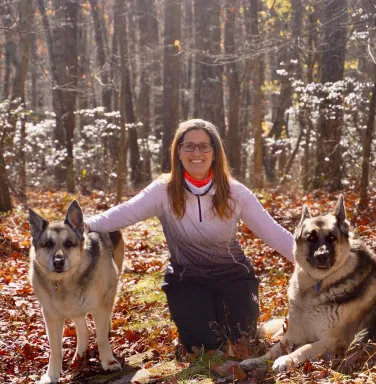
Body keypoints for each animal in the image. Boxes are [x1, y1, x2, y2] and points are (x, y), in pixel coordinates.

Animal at [28, 201, 125, 384]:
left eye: (69, 243)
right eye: (48, 244)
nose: (59, 262)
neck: (65, 281)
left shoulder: (100, 307)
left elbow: (102, 338)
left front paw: (108, 362)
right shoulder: (51, 316)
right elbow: (55, 349)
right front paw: (51, 375)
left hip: (111, 289)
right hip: (75, 309)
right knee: (83, 331)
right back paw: (79, 356)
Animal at [241, 195, 376, 372]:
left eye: (332, 238)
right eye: (311, 238)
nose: (322, 256)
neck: (317, 283)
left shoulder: (331, 340)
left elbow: (303, 348)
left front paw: (285, 360)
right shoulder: (294, 334)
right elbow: (274, 348)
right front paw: (257, 360)